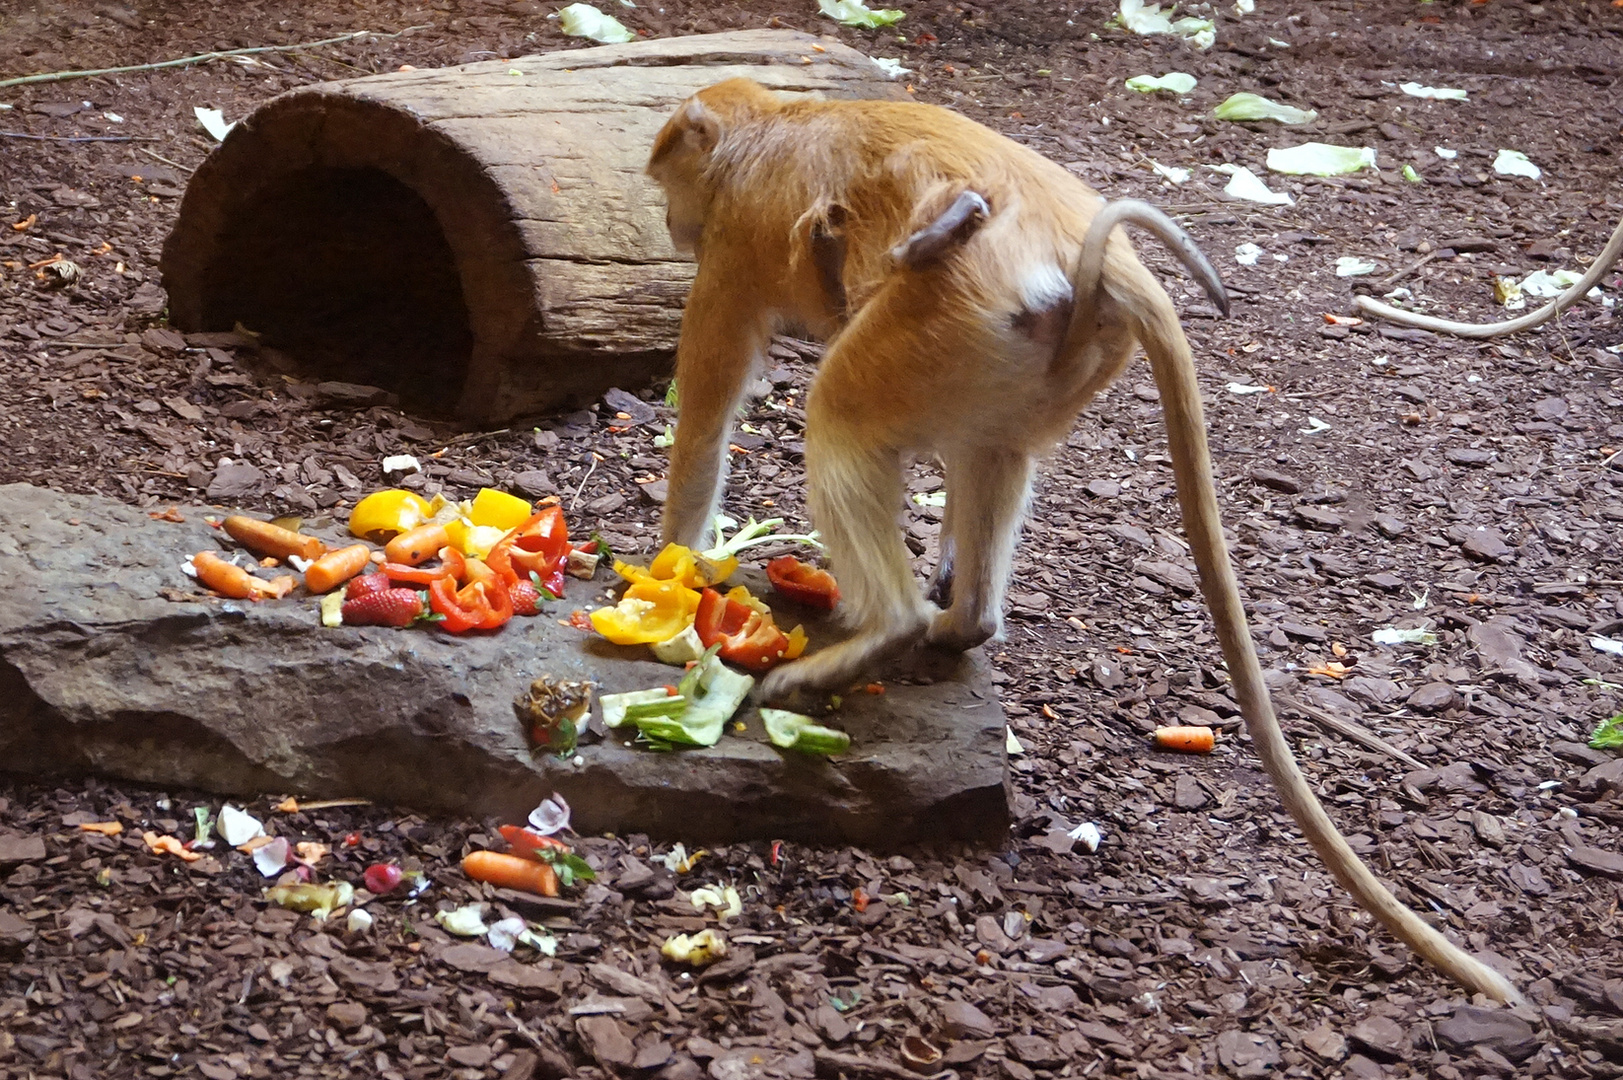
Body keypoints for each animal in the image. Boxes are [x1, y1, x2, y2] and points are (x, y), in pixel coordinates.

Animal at [645, 79, 1519, 1006]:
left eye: (671, 185)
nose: (668, 222)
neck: (776, 120)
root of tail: (1091, 255)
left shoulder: (734, 236)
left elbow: (707, 402)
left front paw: (674, 571)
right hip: (1021, 351)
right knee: (993, 448)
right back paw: (961, 622)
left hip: (943, 319)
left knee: (843, 414)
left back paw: (883, 632)